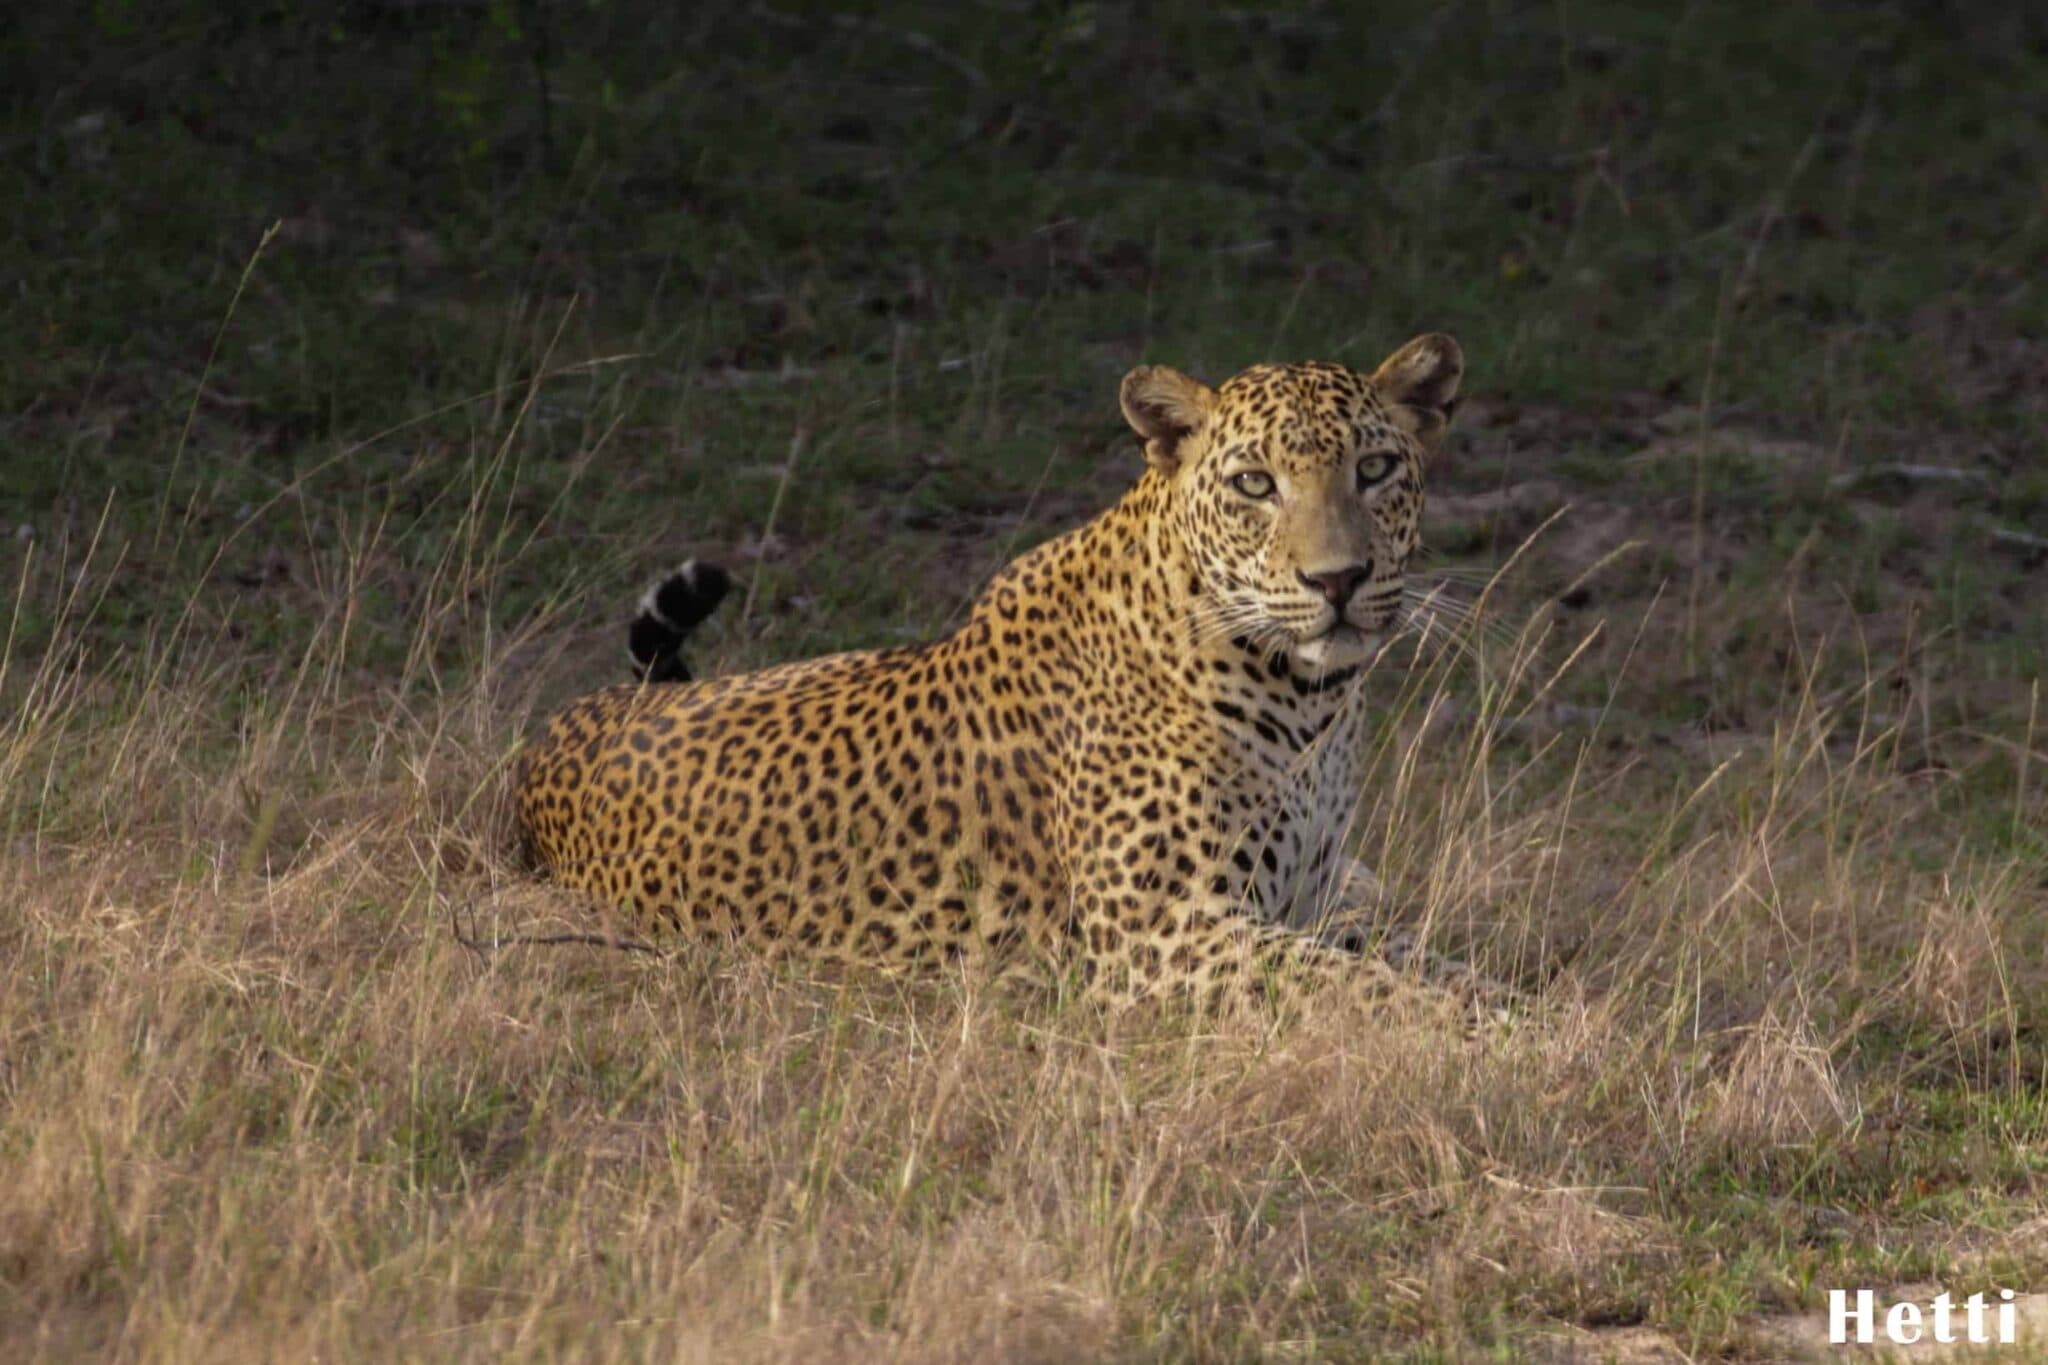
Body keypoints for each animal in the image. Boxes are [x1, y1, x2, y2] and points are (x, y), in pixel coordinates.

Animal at [515, 334, 1480, 1009]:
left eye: (1376, 469)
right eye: (1253, 484)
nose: (1338, 580)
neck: (1308, 704)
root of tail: (569, 723)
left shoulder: (1302, 906)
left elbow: (1429, 961)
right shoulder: (1165, 930)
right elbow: (1377, 990)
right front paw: (1492, 1041)